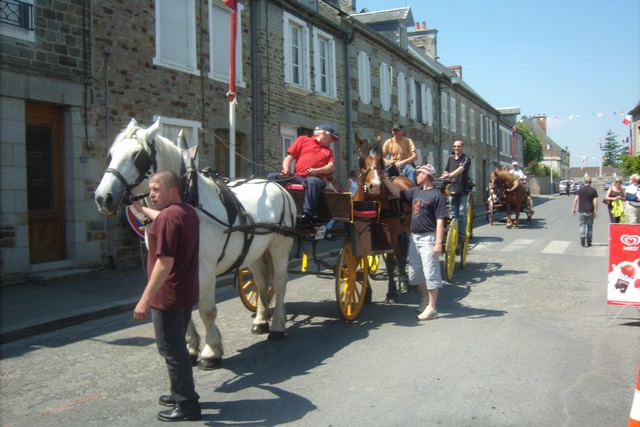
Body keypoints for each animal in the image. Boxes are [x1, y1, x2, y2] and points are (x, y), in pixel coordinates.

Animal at [94, 118, 296, 370]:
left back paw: (277, 326)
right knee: (260, 282)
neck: (187, 201)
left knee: (279, 282)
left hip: (280, 244)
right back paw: (261, 320)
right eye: (111, 154)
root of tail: (278, 187)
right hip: (256, 250)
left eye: (137, 155)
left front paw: (211, 351)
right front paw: (191, 348)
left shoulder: (204, 268)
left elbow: (207, 310)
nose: (103, 197)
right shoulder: (172, 263)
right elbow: (183, 305)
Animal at [352, 134, 412, 304]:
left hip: (405, 228)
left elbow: (391, 262)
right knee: (398, 251)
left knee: (402, 251)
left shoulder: (389, 231)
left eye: (380, 160)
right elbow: (364, 258)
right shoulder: (363, 232)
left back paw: (404, 280)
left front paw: (391, 293)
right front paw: (366, 293)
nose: (376, 185)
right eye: (360, 158)